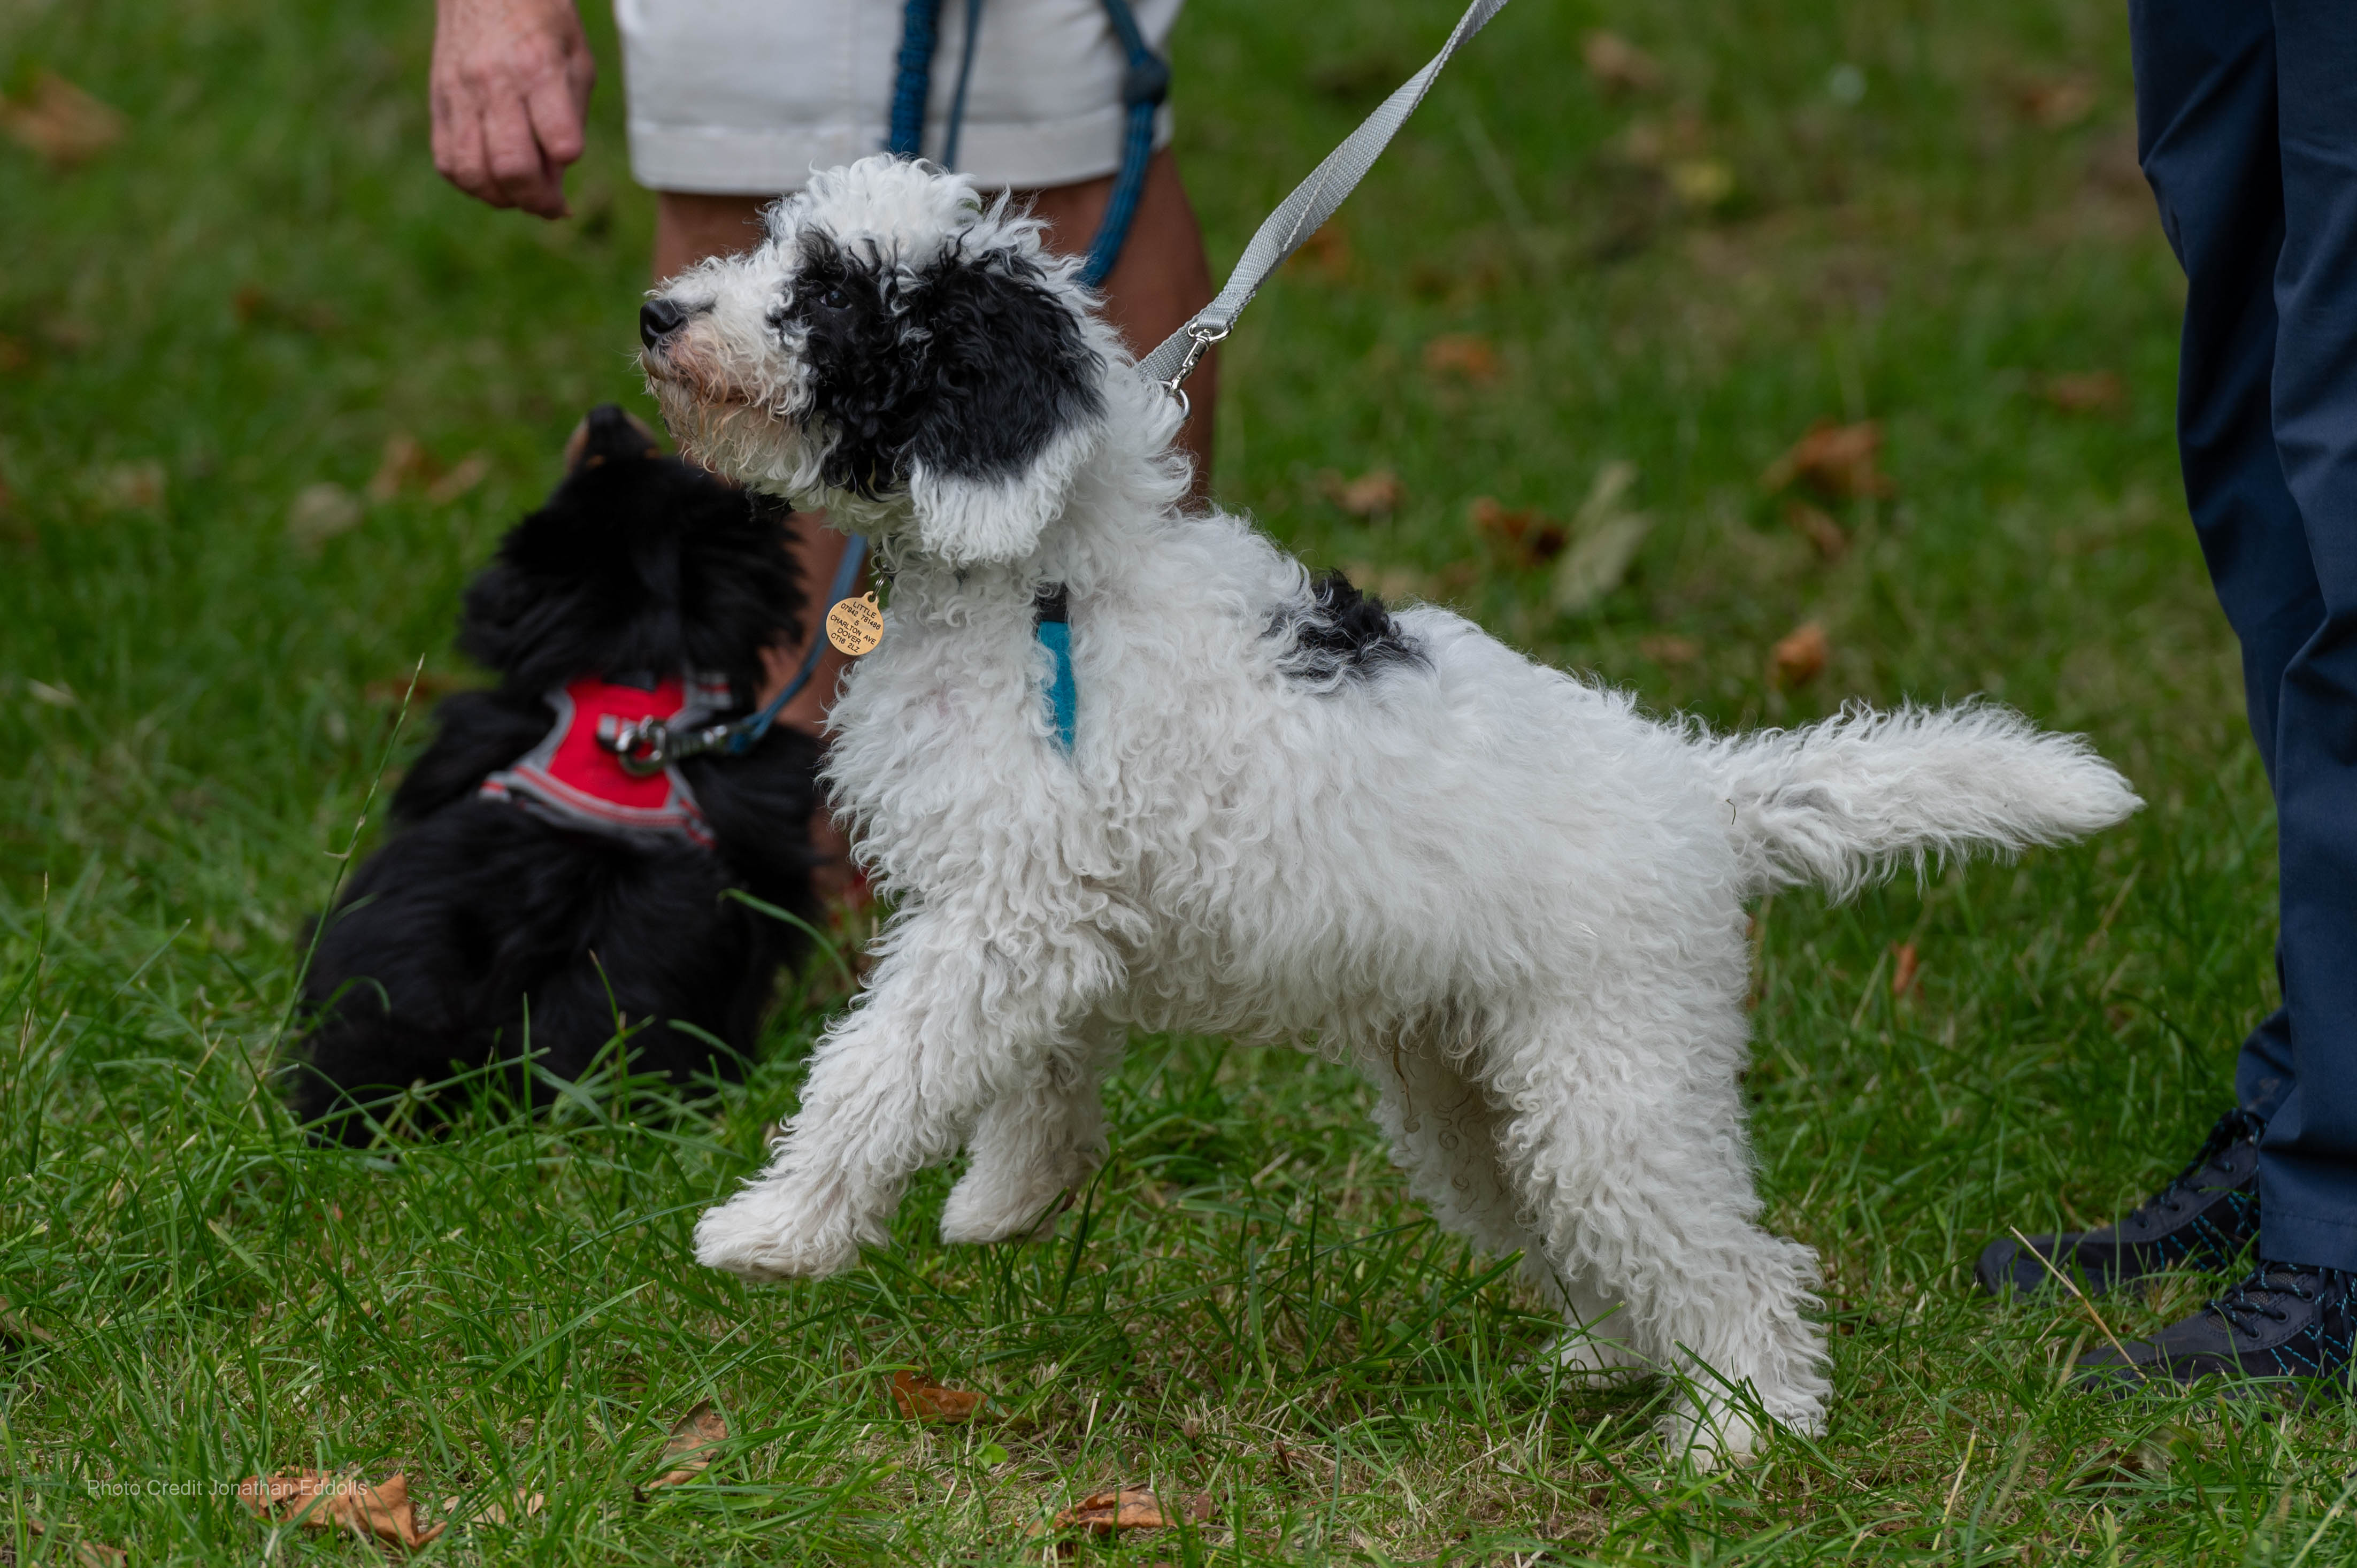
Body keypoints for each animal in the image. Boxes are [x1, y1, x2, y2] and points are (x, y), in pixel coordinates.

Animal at [636, 153, 2149, 1462]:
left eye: (833, 293)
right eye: (775, 242)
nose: (658, 315)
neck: (1041, 572)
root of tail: (1692, 786)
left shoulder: (1010, 914)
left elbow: (874, 1069)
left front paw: (778, 1228)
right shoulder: (1051, 919)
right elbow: (1039, 1073)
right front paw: (1006, 1195)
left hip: (1615, 1082)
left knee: (1742, 1262)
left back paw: (1740, 1437)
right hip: (1477, 1095)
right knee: (1592, 1241)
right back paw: (1611, 1361)